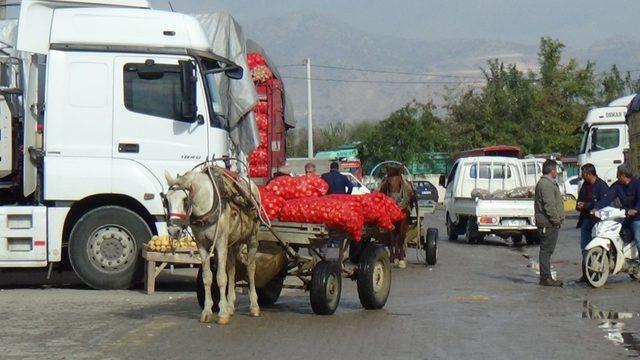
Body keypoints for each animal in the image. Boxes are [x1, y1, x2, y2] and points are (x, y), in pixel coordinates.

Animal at [164, 167, 262, 324]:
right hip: (232, 242)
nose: (174, 230)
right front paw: (207, 311)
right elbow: (208, 277)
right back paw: (230, 305)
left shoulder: (220, 242)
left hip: (251, 238)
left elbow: (221, 277)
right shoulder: (202, 245)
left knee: (251, 269)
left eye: (185, 200)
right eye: (166, 200)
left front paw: (222, 314)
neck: (207, 205)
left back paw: (254, 306)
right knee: (232, 269)